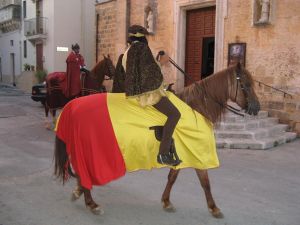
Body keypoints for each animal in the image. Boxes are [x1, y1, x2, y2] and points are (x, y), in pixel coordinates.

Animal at [52, 62, 258, 216]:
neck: (197, 108)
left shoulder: (183, 153)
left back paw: (81, 192)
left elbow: (172, 177)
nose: (257, 107)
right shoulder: (196, 153)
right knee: (84, 173)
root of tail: (73, 106)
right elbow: (204, 181)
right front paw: (214, 208)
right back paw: (91, 203)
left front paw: (166, 201)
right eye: (246, 84)